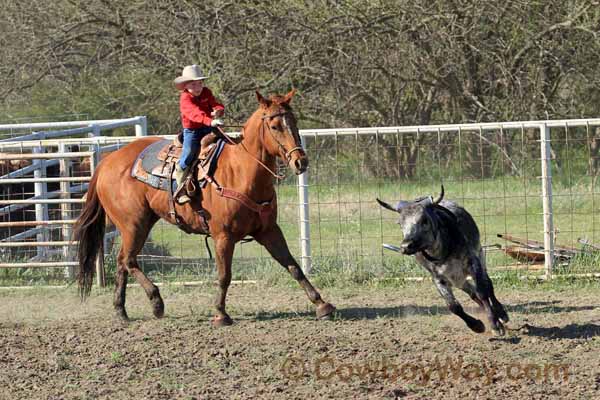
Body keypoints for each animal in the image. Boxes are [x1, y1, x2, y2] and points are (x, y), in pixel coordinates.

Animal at [72, 90, 336, 324]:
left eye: (293, 121)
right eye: (274, 126)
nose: (300, 161)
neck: (241, 172)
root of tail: (106, 162)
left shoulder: (269, 230)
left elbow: (293, 266)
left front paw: (322, 305)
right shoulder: (223, 236)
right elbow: (224, 275)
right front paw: (220, 313)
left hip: (140, 223)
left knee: (122, 261)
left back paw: (121, 311)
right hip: (133, 223)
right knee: (128, 260)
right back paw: (157, 303)